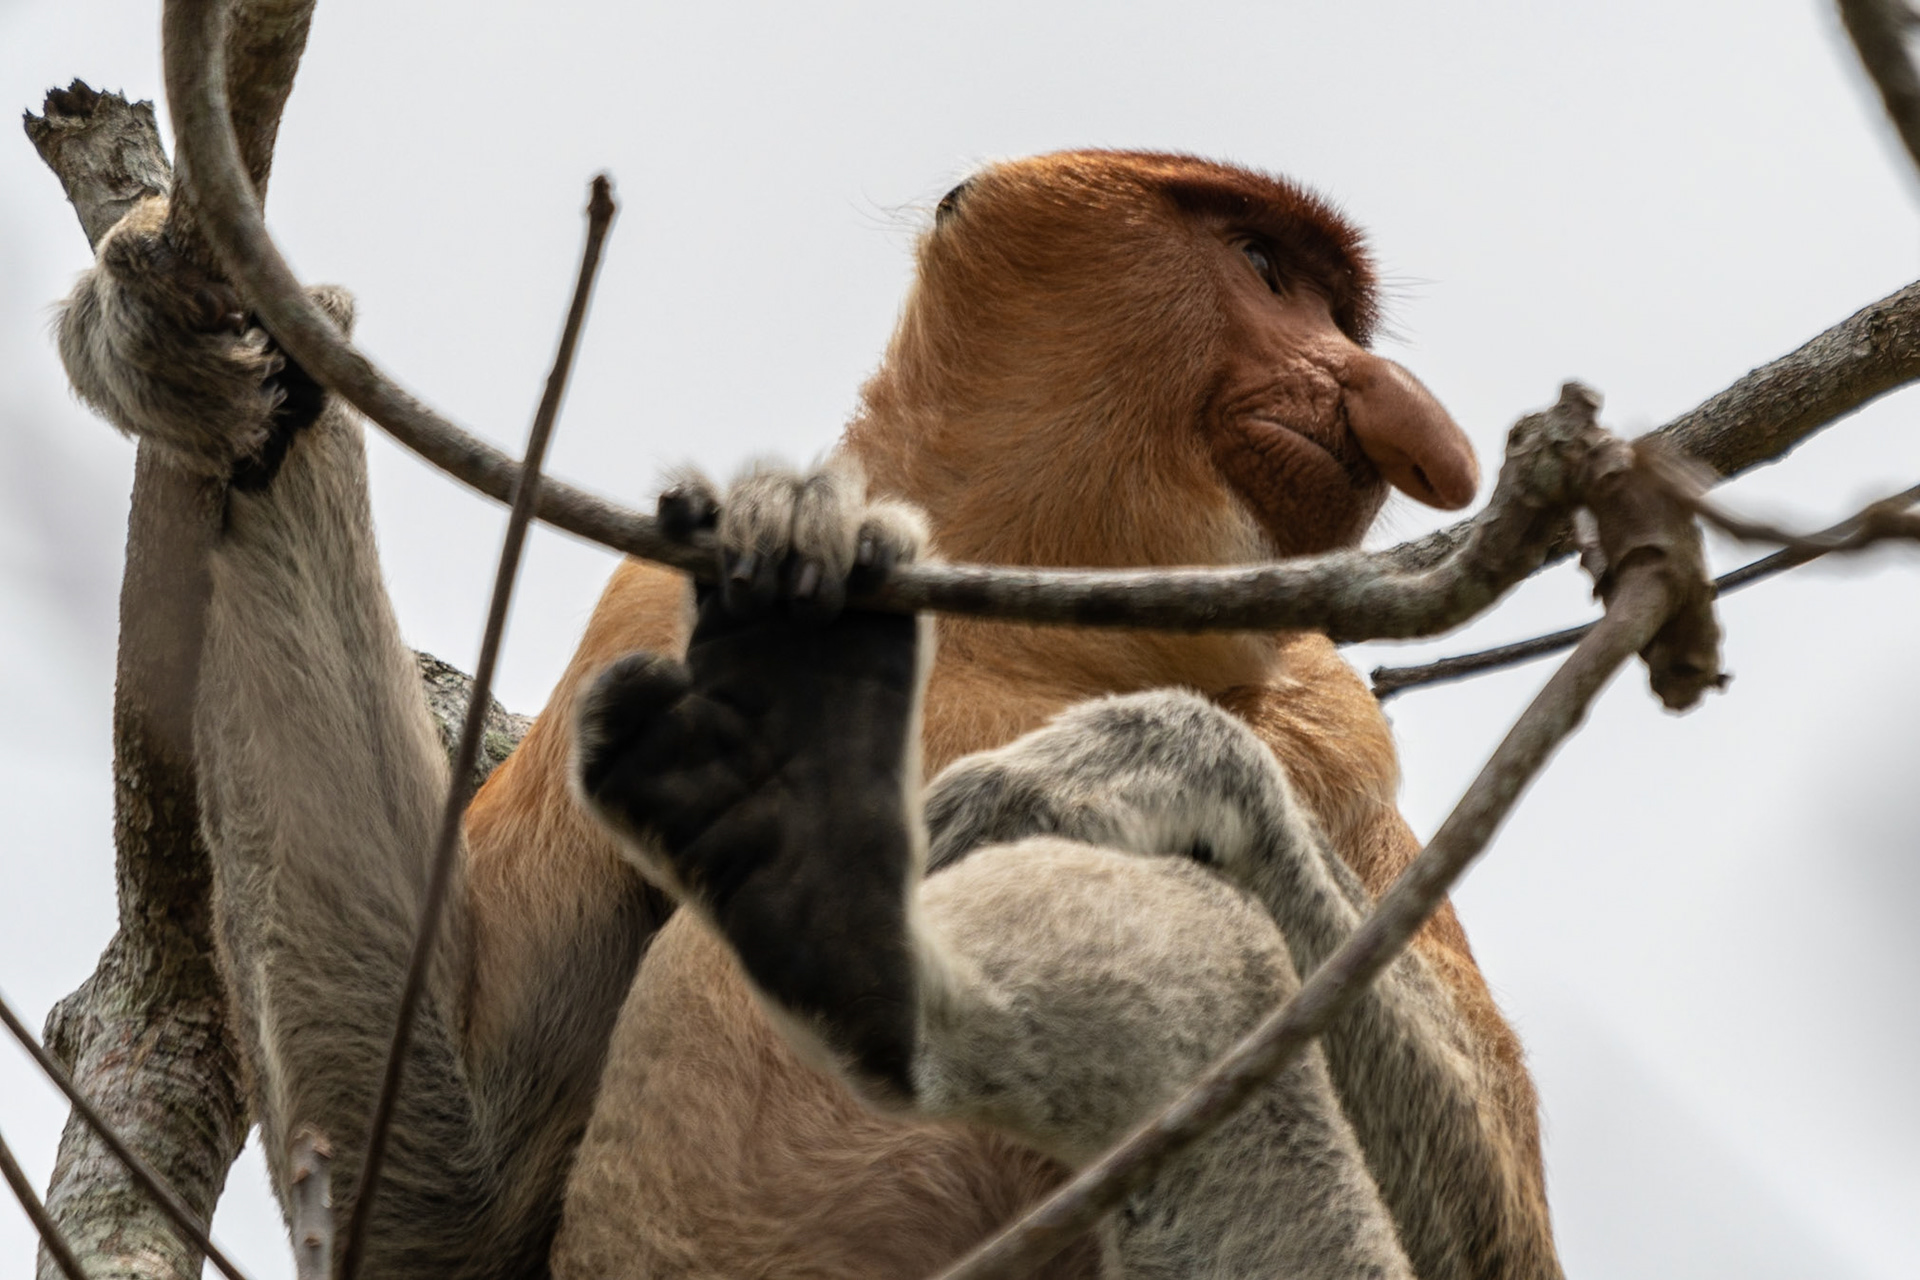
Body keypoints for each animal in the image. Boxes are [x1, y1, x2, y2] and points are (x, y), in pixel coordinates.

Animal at [53, 150, 1558, 1278]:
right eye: (1263, 268)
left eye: (1337, 313)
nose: (1390, 404)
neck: (1026, 606)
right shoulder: (647, 609)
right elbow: (440, 1193)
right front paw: (190, 358)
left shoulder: (1331, 722)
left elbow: (1500, 1241)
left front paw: (1124, 769)